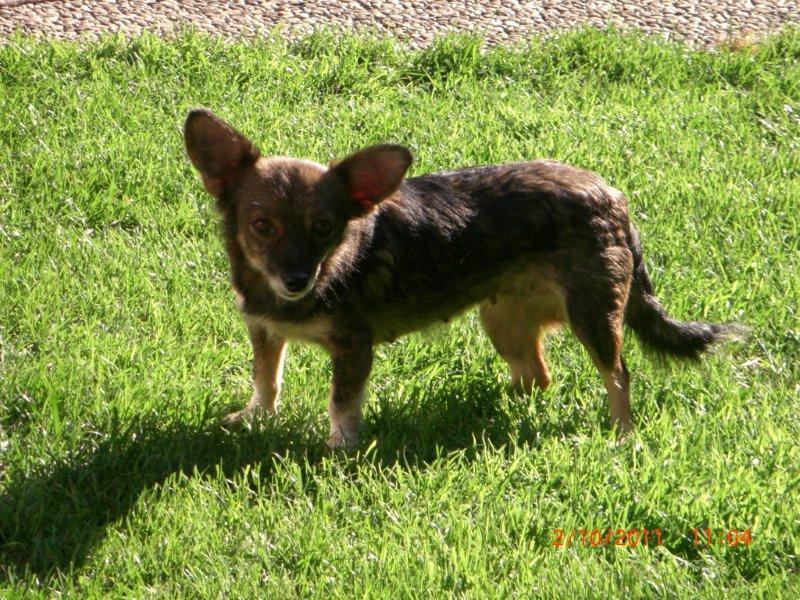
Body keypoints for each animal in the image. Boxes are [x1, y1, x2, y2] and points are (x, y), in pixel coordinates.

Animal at [184, 108, 743, 449]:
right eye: (262, 226)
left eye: (324, 228)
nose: (296, 279)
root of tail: (611, 196)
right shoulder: (263, 330)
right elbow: (266, 379)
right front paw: (255, 418)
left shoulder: (352, 349)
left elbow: (341, 404)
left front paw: (338, 449)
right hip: (502, 323)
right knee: (537, 377)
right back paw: (475, 413)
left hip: (595, 316)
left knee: (618, 376)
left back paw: (621, 436)